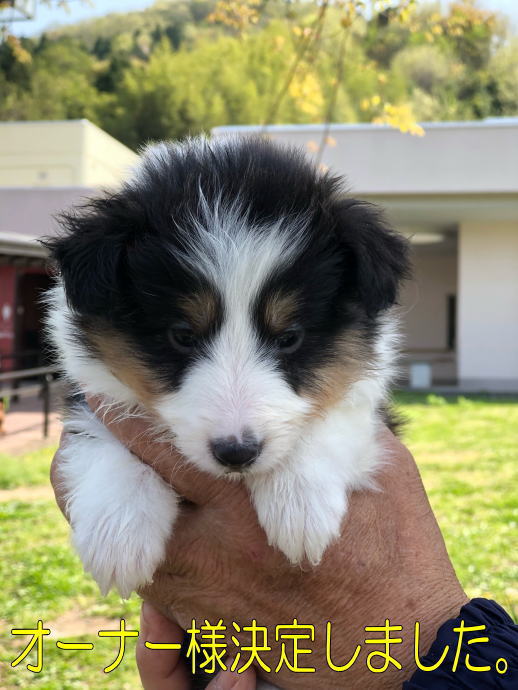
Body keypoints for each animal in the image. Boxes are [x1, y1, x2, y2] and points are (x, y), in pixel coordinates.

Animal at [43, 134, 410, 596]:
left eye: (289, 337)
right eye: (182, 335)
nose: (237, 453)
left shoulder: (365, 404)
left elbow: (333, 417)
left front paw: (299, 506)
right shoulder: (91, 391)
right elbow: (104, 436)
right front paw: (119, 535)